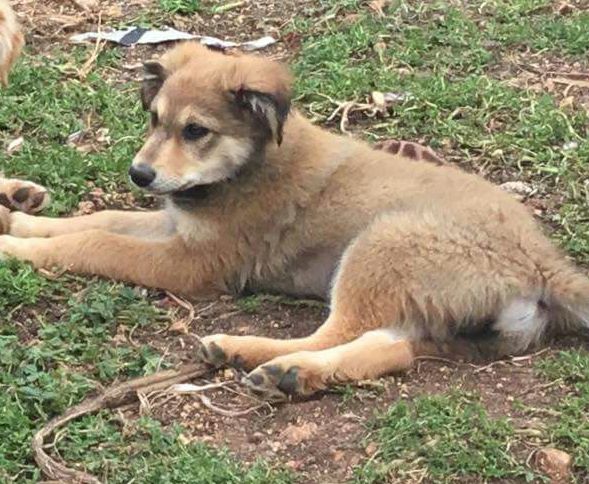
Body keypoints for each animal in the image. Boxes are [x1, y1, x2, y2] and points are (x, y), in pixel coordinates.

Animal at [1, 44, 588, 400]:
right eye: (154, 120)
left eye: (196, 131)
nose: (139, 174)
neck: (248, 165)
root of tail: (543, 262)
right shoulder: (176, 228)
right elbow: (99, 221)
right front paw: (21, 222)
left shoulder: (195, 263)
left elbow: (95, 244)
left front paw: (17, 249)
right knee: (390, 347)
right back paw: (289, 372)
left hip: (381, 243)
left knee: (336, 330)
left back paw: (254, 354)